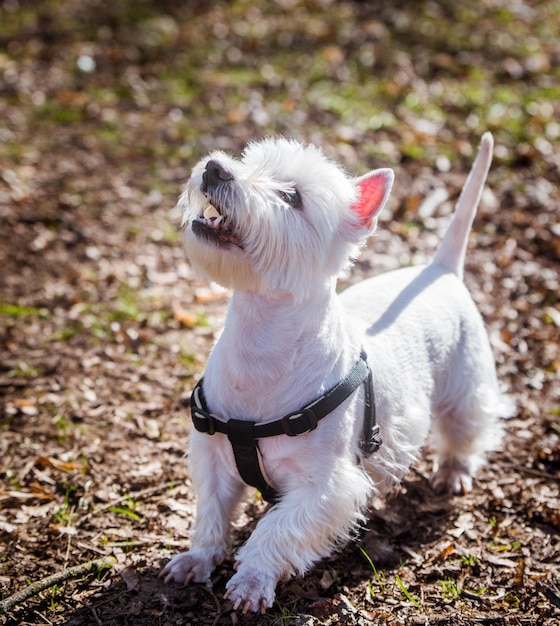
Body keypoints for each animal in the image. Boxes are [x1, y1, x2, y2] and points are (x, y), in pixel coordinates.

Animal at [161, 133, 512, 608]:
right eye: (246, 161)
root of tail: (440, 270)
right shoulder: (213, 457)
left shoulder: (326, 487)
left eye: (291, 196)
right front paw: (197, 559)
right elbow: (211, 512)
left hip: (466, 382)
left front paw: (251, 582)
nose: (215, 168)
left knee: (466, 427)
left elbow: (275, 528)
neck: (259, 344)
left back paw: (453, 472)